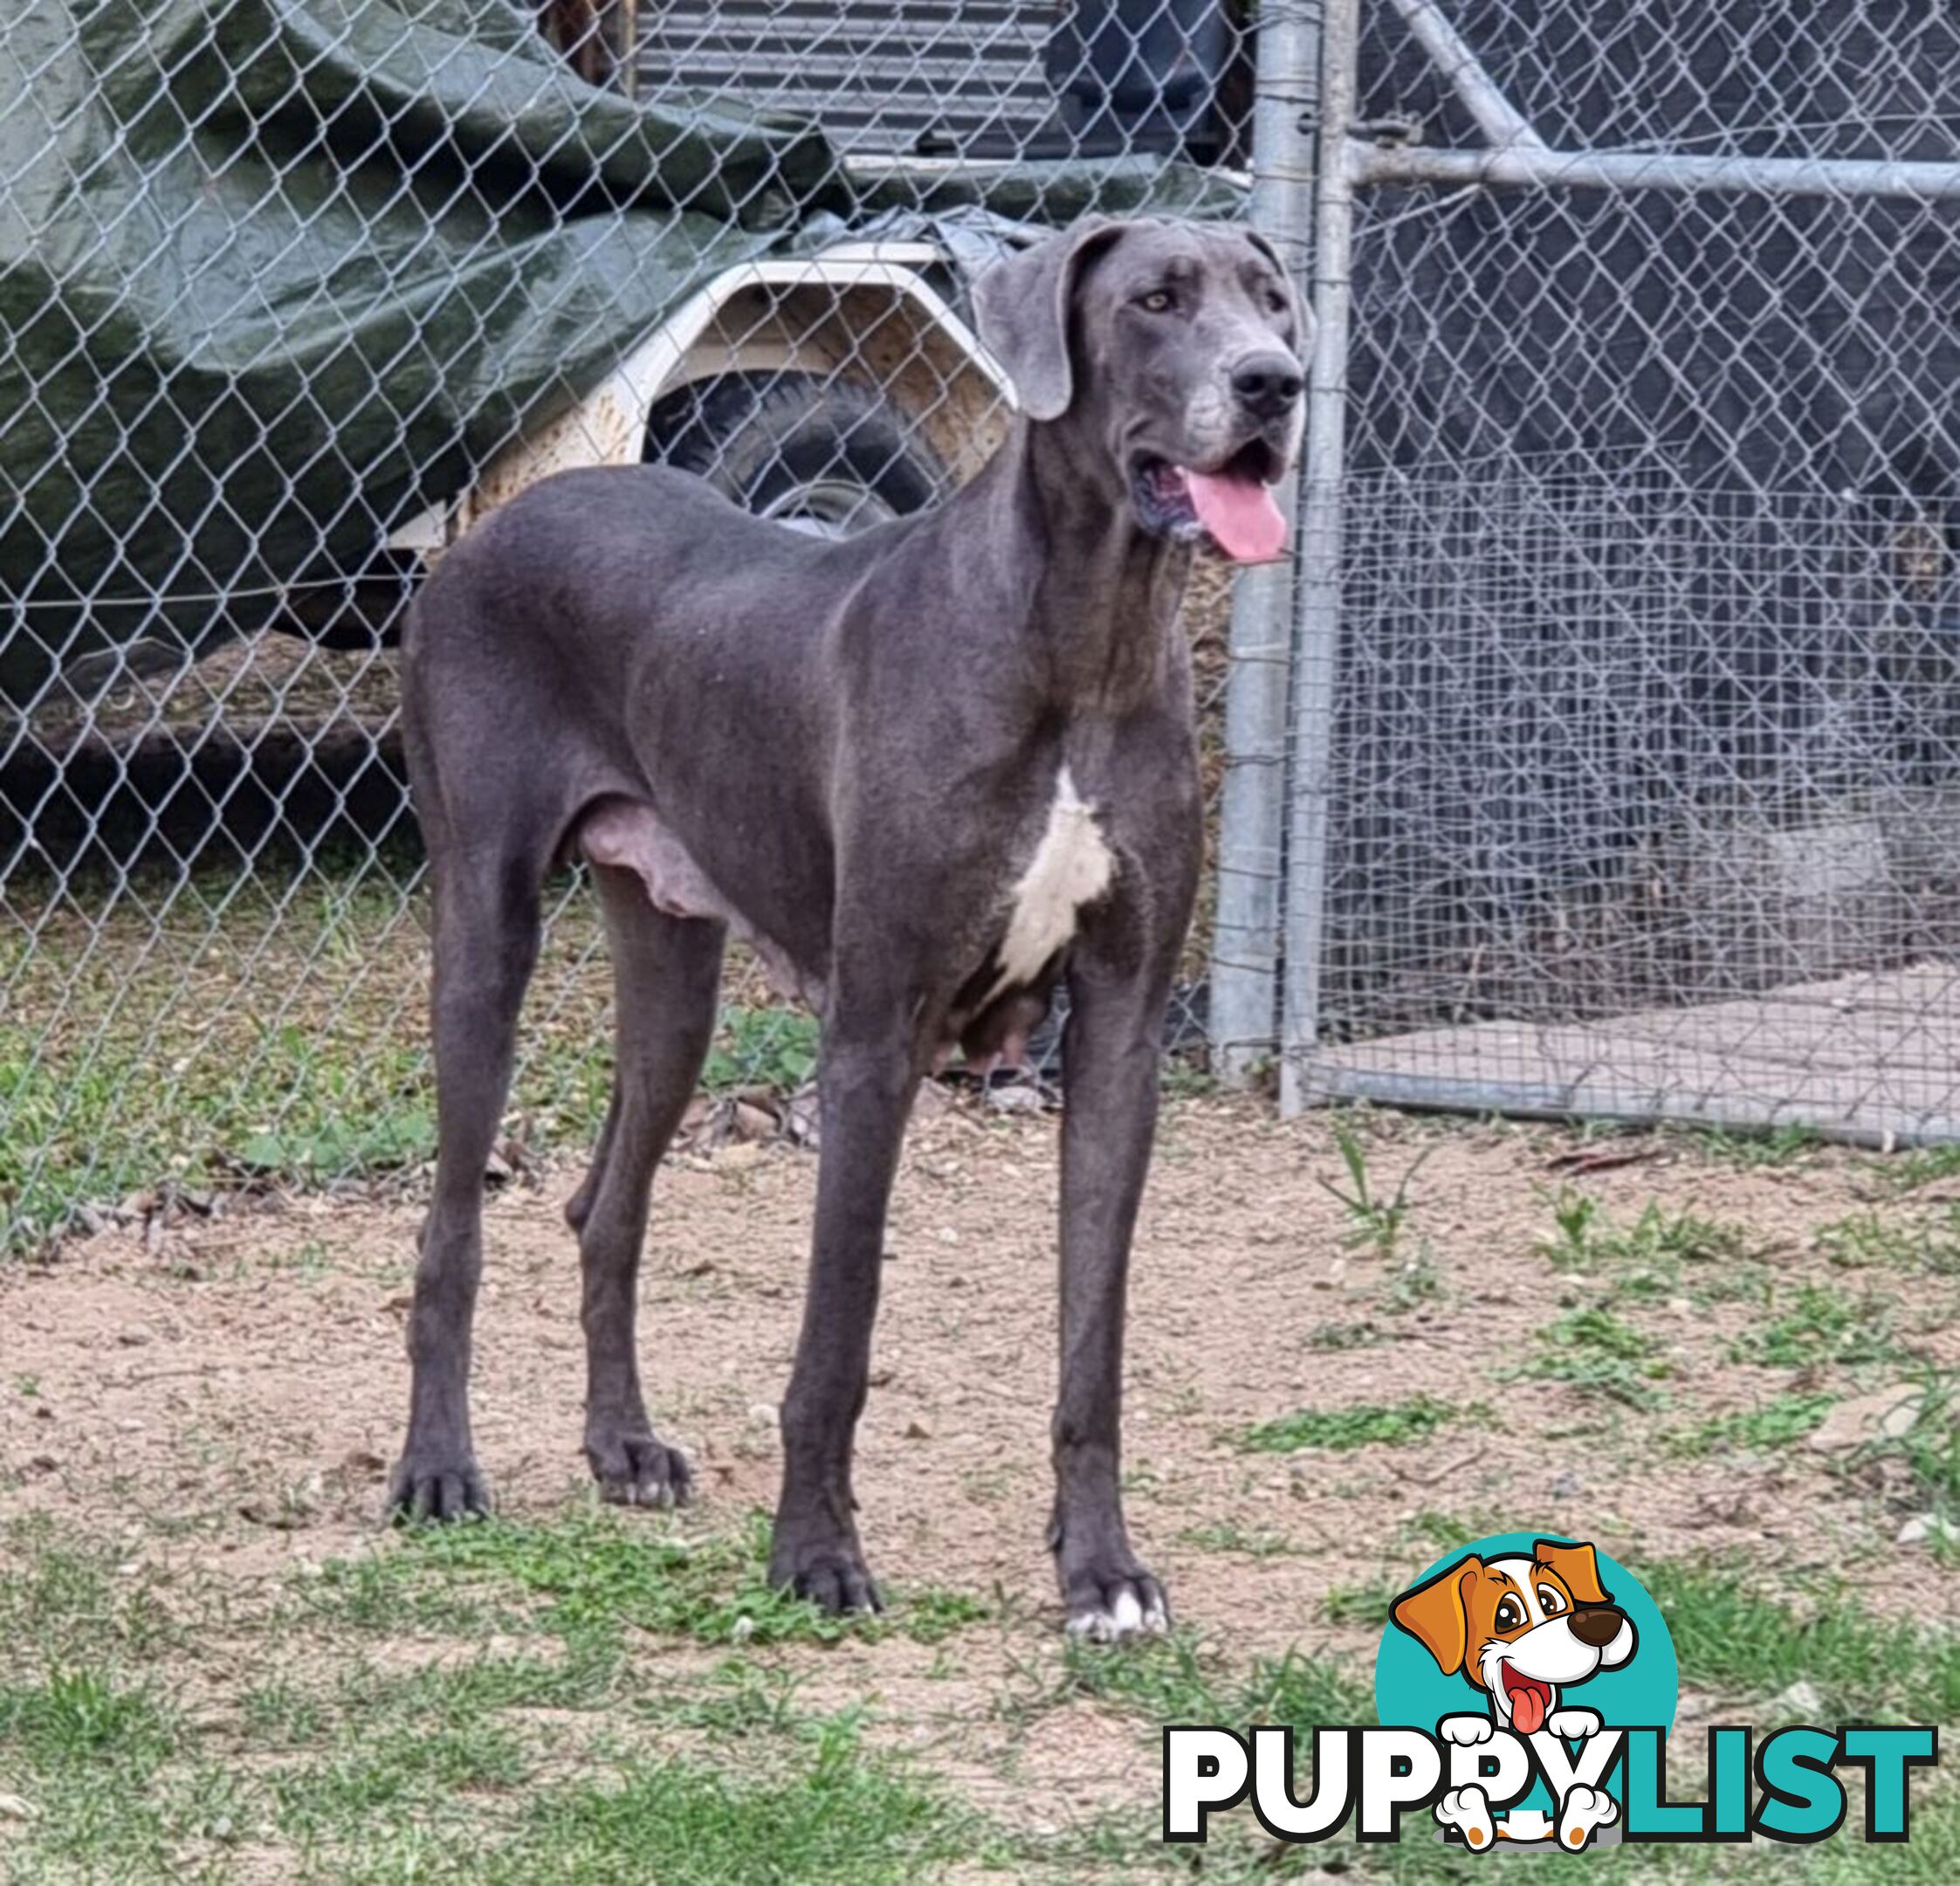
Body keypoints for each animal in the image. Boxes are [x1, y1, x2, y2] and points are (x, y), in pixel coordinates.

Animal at [389, 217, 1309, 1631]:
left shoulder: (1121, 1034)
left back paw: (621, 1447)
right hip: (484, 928)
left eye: (1272, 301)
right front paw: (815, 1557)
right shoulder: (877, 1034)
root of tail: (492, 523)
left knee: (607, 1207)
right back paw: (437, 1471)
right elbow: (840, 1325)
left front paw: (1100, 1570)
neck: (1080, 641)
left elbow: (1092, 1338)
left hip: (673, 967)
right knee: (450, 1229)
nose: (1273, 384)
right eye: (1156, 300)